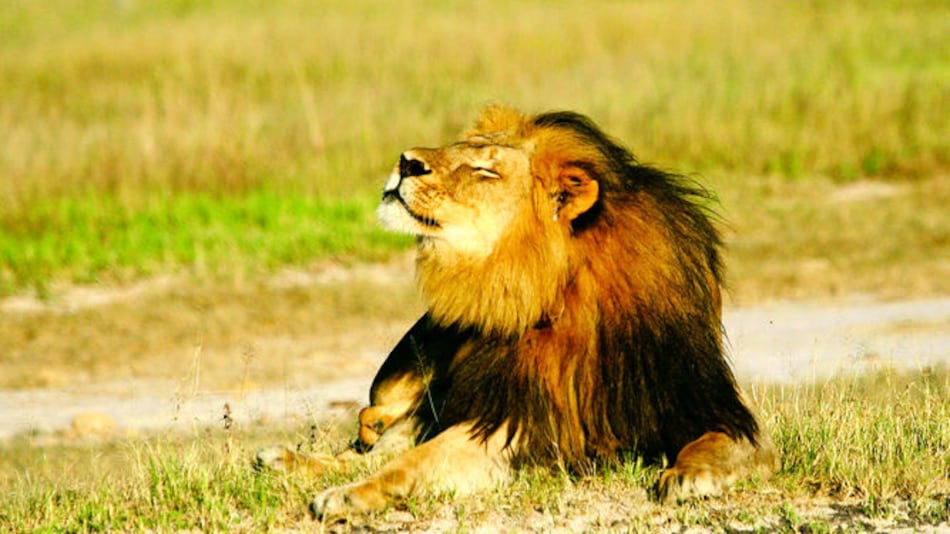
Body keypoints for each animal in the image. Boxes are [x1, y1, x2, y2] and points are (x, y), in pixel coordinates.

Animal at [256, 106, 780, 519]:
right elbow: (410, 461)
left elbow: (724, 442)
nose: (406, 162)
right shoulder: (510, 418)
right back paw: (285, 459)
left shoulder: (707, 404)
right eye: (460, 147)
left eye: (485, 171)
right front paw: (347, 495)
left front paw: (690, 477)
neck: (551, 288)